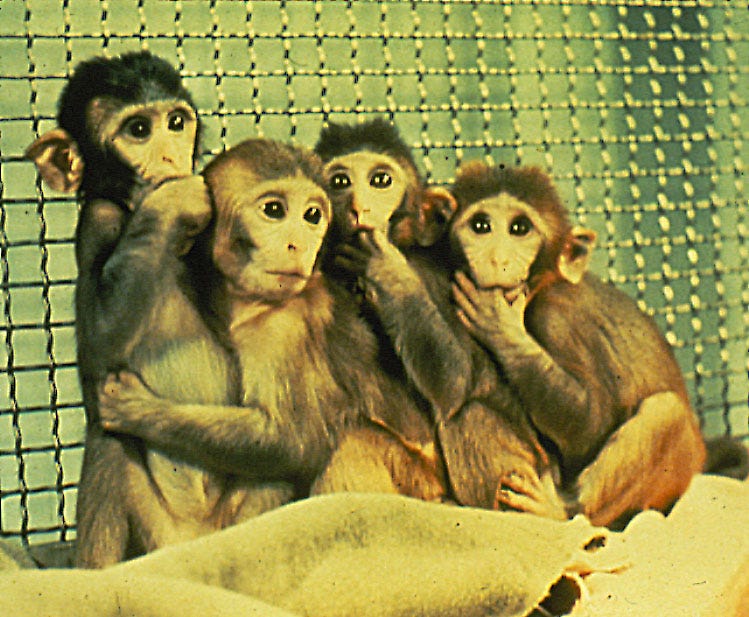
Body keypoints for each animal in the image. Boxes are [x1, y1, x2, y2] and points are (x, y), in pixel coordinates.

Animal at [25, 51, 282, 568]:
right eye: (138, 130)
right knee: (110, 439)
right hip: (157, 538)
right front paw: (172, 201)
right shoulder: (97, 220)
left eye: (176, 122)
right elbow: (101, 342)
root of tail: (196, 543)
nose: (169, 157)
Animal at [95, 138, 448, 510]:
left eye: (312, 216)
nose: (298, 244)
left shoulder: (280, 325)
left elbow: (289, 440)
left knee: (352, 441)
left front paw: (136, 409)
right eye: (274, 210)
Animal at [315, 120, 568, 517]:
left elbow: (456, 380)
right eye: (340, 181)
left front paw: (387, 271)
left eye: (380, 180)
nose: (359, 206)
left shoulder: (433, 275)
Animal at [449, 162, 710, 527]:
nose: (496, 258)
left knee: (665, 410)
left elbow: (591, 423)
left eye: (519, 228)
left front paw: (499, 327)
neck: (541, 287)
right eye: (481, 225)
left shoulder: (557, 318)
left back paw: (561, 511)